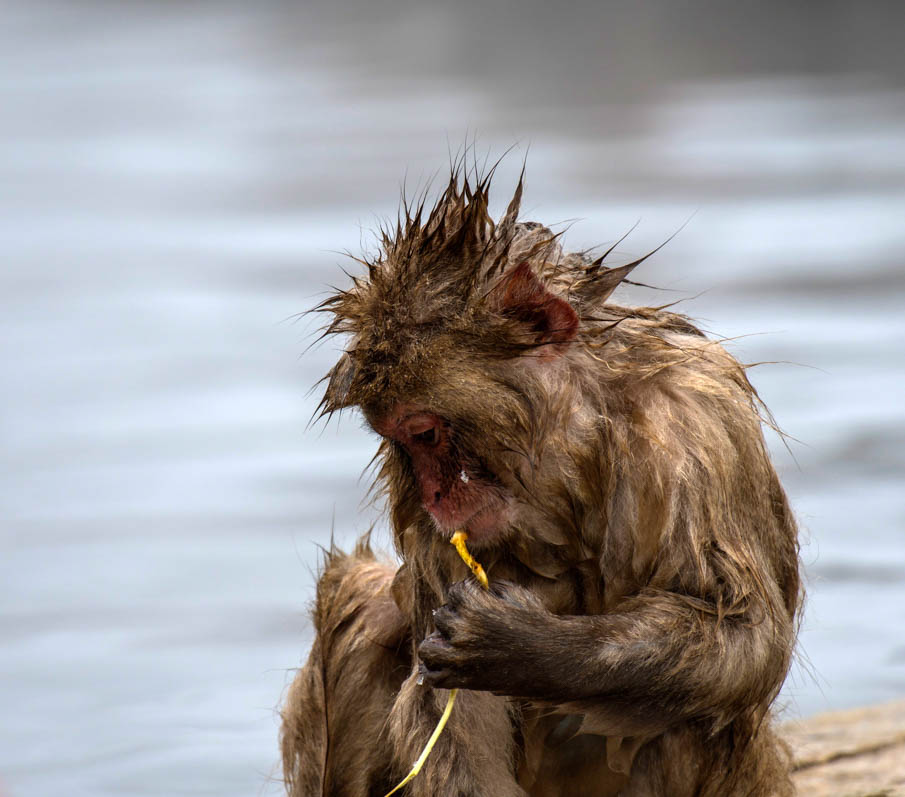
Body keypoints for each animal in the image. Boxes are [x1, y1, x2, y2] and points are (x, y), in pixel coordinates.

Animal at [280, 168, 802, 797]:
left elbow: (744, 630)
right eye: (399, 442)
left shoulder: (700, 424)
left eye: (426, 433)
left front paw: (520, 647)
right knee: (363, 597)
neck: (575, 457)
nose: (435, 496)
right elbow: (452, 717)